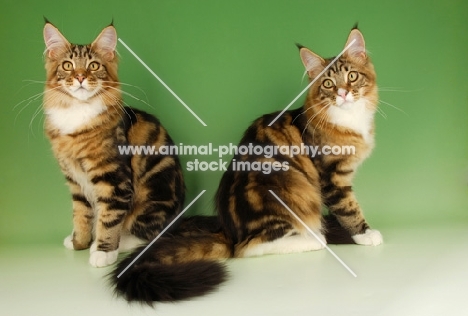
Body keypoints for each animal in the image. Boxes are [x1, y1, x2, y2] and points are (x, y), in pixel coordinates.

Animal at [42, 22, 185, 268]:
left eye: (94, 65)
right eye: (68, 66)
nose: (80, 77)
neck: (77, 113)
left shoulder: (113, 179)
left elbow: (108, 218)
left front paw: (103, 251)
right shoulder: (75, 181)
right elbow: (81, 214)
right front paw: (79, 242)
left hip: (151, 198)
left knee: (149, 234)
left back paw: (121, 242)